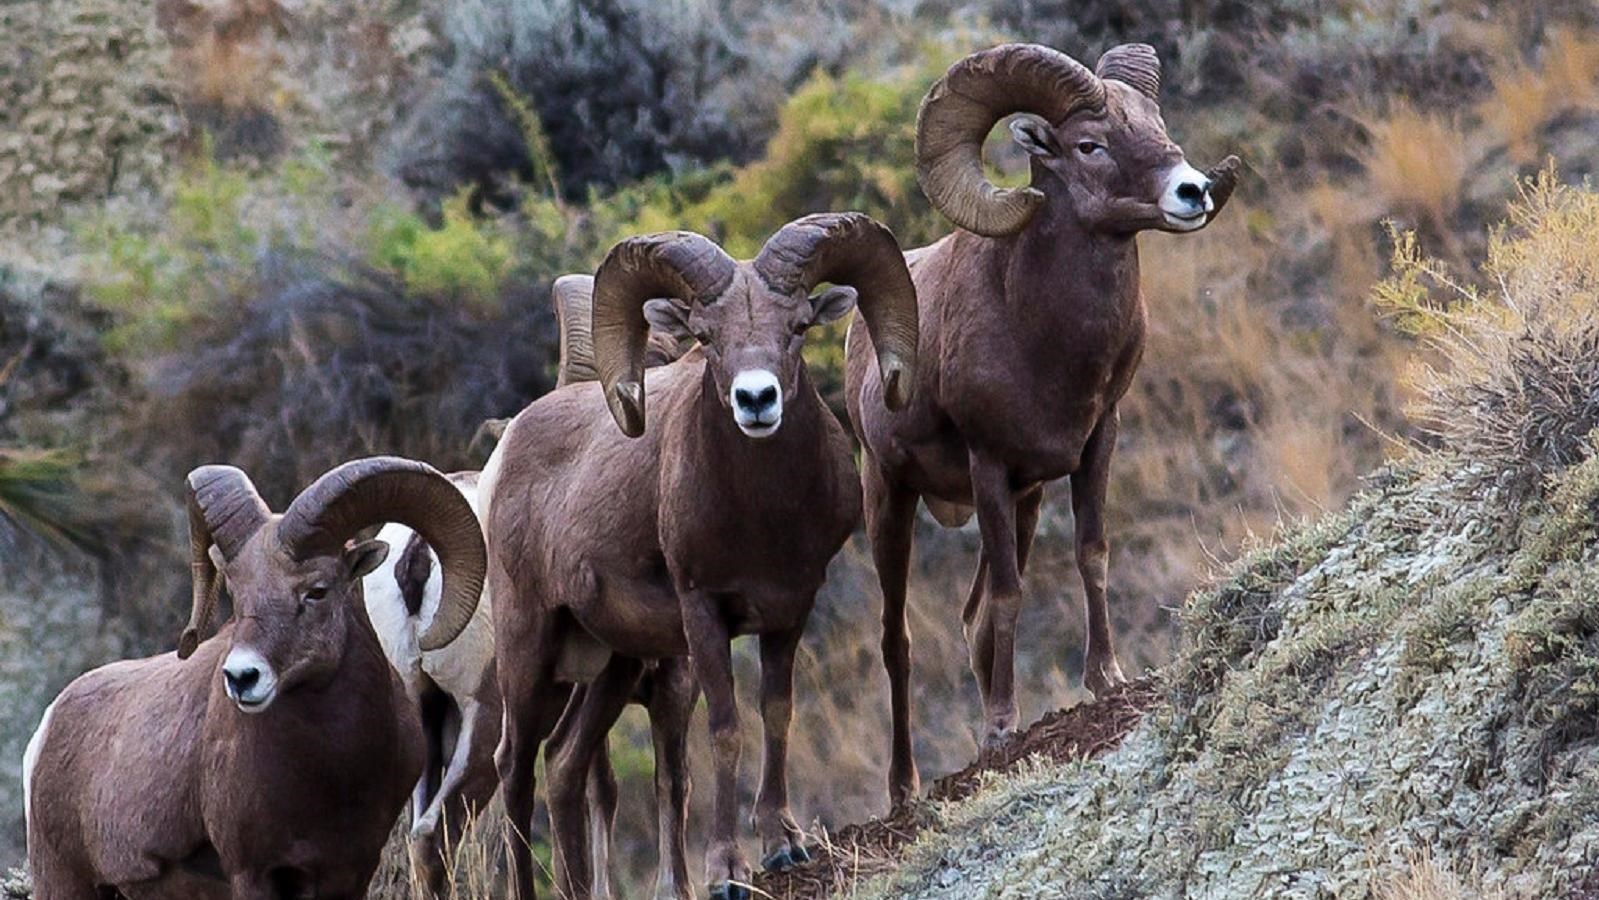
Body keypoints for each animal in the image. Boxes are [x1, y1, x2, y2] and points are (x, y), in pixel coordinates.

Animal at [23, 457, 486, 900]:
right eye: (235, 590)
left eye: (317, 591)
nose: (242, 677)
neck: (331, 773)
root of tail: (48, 726)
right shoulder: (254, 874)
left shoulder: (352, 874)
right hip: (65, 883)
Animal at [479, 215, 921, 900]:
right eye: (707, 338)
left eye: (798, 327)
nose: (756, 400)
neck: (762, 521)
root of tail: (505, 454)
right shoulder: (703, 613)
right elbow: (725, 729)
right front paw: (728, 872)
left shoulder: (790, 608)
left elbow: (775, 712)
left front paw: (783, 843)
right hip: (530, 649)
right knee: (516, 767)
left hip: (615, 662)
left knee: (564, 762)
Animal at [844, 42, 1240, 802]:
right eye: (1088, 145)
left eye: (1156, 123)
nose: (1193, 193)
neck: (1043, 340)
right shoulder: (989, 466)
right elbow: (1008, 593)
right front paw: (1001, 729)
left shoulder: (1093, 443)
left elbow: (1090, 554)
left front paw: (1104, 678)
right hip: (892, 499)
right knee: (896, 639)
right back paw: (905, 785)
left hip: (1023, 505)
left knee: (970, 621)